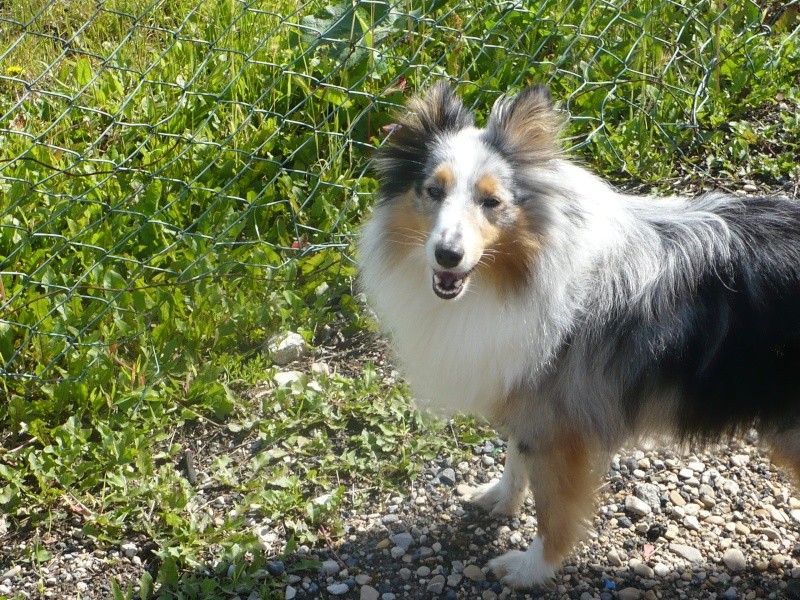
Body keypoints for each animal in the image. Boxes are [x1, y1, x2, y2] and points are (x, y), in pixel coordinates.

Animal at [360, 82, 800, 588]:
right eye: (434, 191)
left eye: (492, 202)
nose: (447, 255)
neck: (521, 270)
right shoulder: (529, 397)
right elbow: (515, 460)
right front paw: (499, 498)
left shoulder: (559, 424)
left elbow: (553, 511)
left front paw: (530, 568)